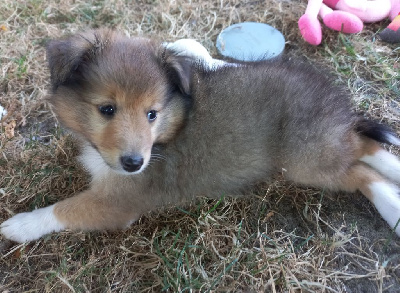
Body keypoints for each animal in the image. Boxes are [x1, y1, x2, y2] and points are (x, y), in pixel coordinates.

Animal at [2, 28, 400, 242]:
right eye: (107, 109)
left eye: (151, 114)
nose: (133, 163)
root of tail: (337, 106)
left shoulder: (118, 201)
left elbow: (66, 209)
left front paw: (19, 225)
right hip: (324, 145)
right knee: (364, 145)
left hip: (306, 159)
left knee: (359, 169)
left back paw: (392, 209)